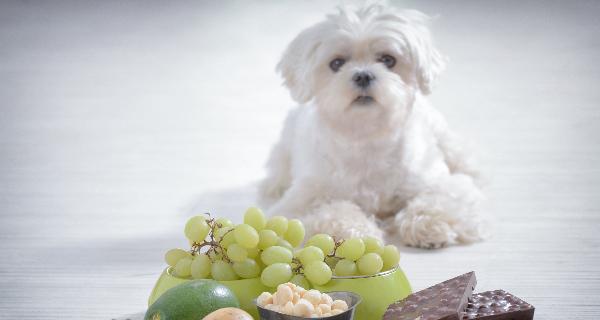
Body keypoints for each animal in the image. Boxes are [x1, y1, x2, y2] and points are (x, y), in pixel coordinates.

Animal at [260, 2, 486, 249]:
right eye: (336, 63)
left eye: (388, 60)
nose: (363, 75)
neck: (367, 136)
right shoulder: (300, 201)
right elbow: (333, 211)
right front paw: (355, 233)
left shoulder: (439, 181)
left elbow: (440, 199)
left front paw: (430, 224)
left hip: (448, 141)